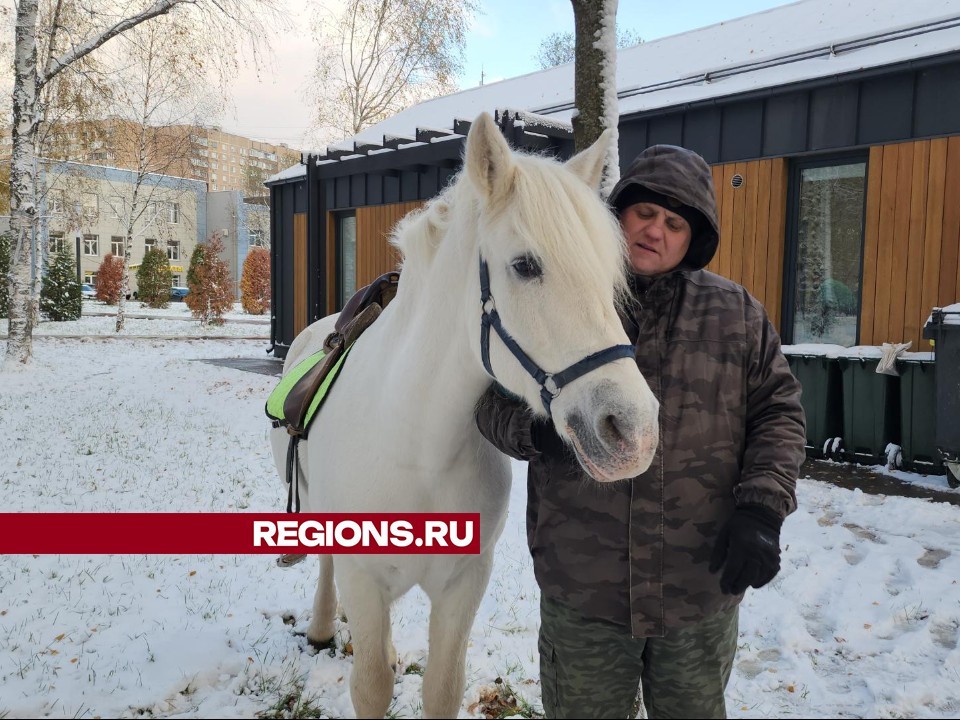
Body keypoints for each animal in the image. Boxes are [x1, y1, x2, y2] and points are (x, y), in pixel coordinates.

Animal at [270, 112, 660, 716]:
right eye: (525, 265)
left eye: (609, 273)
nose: (633, 432)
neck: (416, 447)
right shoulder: (364, 578)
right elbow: (371, 683)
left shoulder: (463, 584)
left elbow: (441, 688)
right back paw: (320, 625)